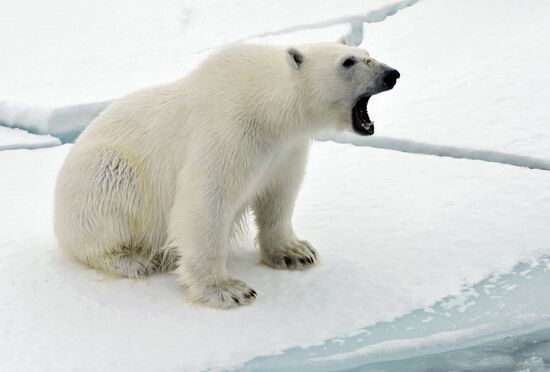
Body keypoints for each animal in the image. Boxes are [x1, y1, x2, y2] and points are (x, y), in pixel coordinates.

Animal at [55, 40, 402, 308]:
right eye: (348, 62)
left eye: (366, 51)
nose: (392, 74)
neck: (268, 108)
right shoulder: (229, 133)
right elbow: (205, 203)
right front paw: (228, 290)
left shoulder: (285, 150)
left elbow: (280, 194)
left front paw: (295, 252)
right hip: (103, 174)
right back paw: (134, 260)